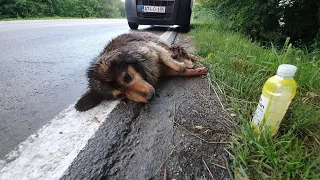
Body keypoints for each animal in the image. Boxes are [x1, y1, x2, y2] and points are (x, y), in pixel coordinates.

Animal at [74, 32, 208, 111]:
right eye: (120, 96)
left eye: (127, 77)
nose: (150, 97)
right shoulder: (160, 69)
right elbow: (178, 70)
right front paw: (197, 70)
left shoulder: (153, 49)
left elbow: (176, 65)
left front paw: (186, 65)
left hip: (158, 42)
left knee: (175, 51)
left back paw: (193, 59)